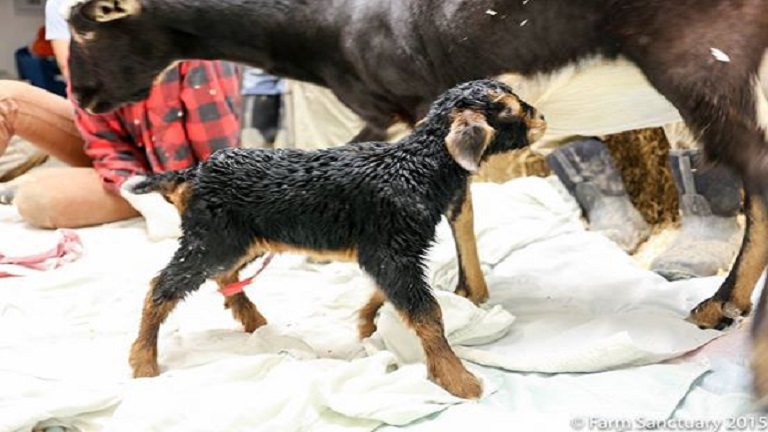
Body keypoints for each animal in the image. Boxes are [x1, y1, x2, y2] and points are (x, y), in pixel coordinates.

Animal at [124, 79, 546, 399]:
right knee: (161, 287)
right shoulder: (392, 250)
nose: (541, 118)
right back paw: (143, 360)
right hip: (211, 240)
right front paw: (458, 379)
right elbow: (428, 312)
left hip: (242, 240)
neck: (418, 164)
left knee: (224, 277)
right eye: (508, 109)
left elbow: (386, 293)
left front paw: (365, 325)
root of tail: (191, 174)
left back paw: (253, 321)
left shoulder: (385, 252)